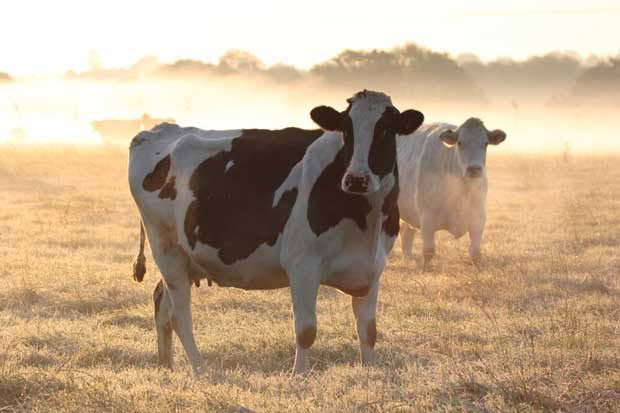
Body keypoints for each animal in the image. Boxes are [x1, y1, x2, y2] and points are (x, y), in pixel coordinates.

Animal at [128, 90, 424, 374]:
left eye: (385, 131)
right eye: (346, 130)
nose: (356, 179)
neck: (365, 222)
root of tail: (158, 131)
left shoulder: (372, 268)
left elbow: (368, 331)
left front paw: (370, 371)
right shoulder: (303, 265)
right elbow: (306, 330)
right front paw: (298, 376)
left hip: (186, 259)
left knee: (161, 304)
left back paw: (166, 365)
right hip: (167, 249)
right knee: (179, 316)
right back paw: (201, 370)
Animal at [398, 117, 504, 268]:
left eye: (486, 143)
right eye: (460, 142)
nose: (474, 169)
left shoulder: (478, 218)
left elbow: (475, 252)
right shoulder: (427, 219)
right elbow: (429, 251)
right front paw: (425, 270)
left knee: (406, 233)